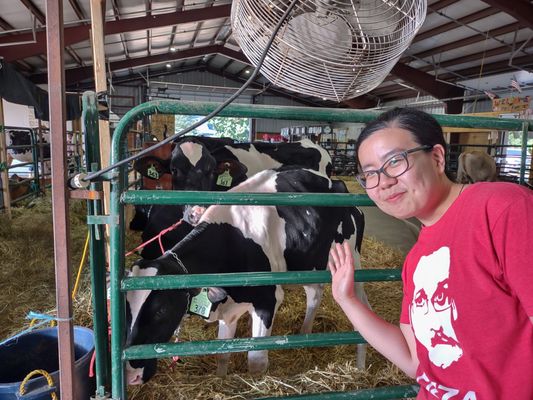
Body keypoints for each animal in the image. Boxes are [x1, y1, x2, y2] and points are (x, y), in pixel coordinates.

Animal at [124, 166, 368, 384]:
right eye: (125, 308)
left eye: (161, 311)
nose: (131, 375)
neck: (230, 243)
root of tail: (334, 181)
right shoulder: (227, 306)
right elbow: (222, 354)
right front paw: (221, 379)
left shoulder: (268, 301)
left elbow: (256, 361)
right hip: (310, 262)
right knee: (314, 294)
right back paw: (304, 333)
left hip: (351, 259)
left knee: (361, 304)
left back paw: (360, 364)